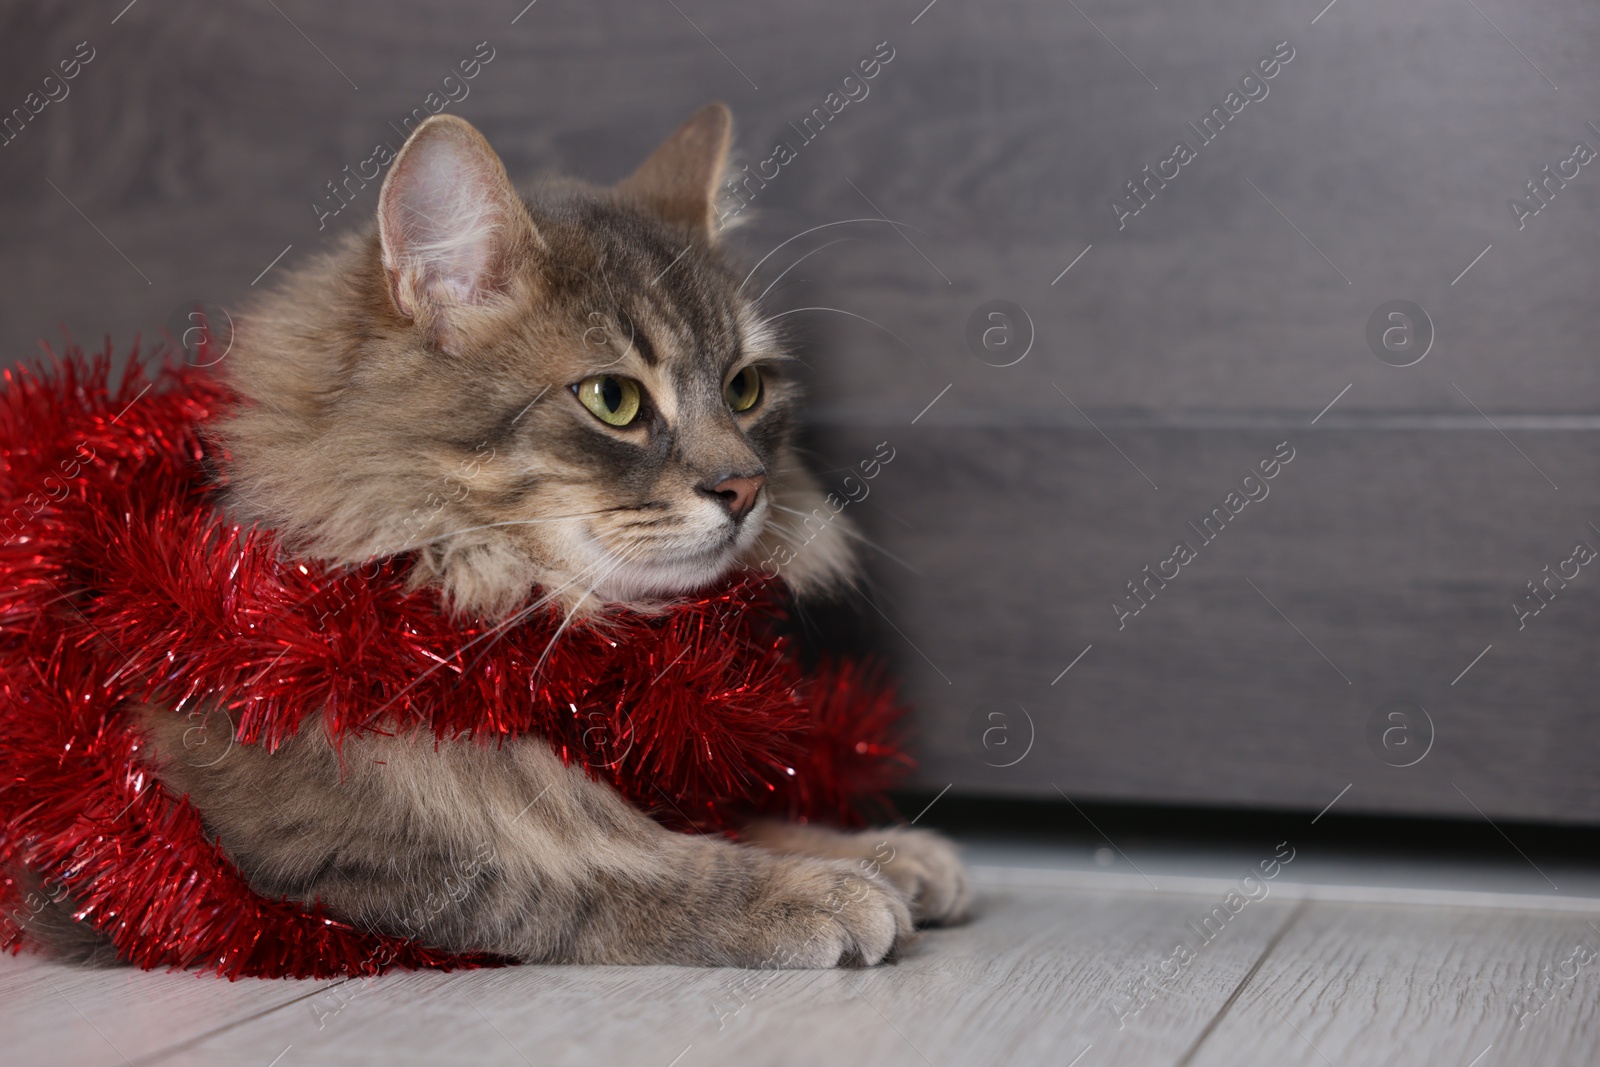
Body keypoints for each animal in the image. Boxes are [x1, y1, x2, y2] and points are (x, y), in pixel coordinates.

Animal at [106, 106, 966, 966]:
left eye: (745, 388)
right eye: (613, 399)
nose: (747, 487)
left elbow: (717, 817)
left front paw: (880, 849)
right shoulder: (320, 817)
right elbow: (599, 865)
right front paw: (812, 890)